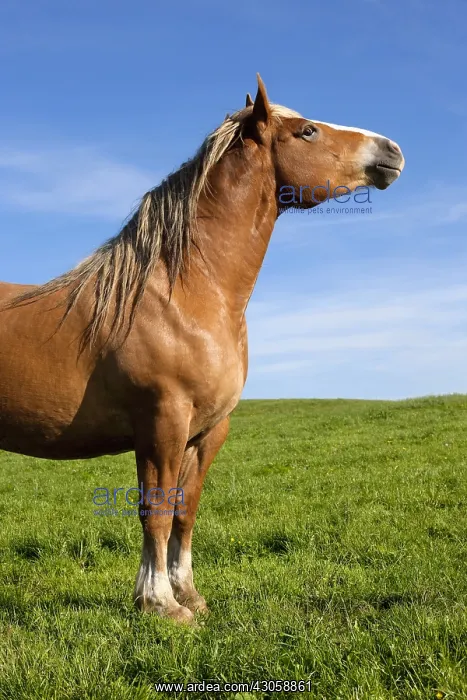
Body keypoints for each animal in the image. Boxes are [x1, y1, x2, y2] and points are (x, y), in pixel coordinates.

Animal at [0, 75, 404, 623]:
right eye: (308, 131)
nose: (392, 150)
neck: (185, 294)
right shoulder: (162, 423)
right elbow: (156, 509)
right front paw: (160, 605)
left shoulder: (207, 432)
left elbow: (184, 512)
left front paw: (188, 594)